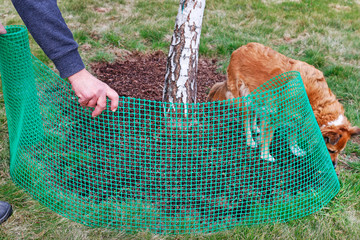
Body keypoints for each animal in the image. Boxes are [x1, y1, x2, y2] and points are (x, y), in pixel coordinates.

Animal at [208, 42, 360, 168]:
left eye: (340, 151)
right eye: (331, 150)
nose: (334, 166)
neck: (316, 101)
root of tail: (238, 50)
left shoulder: (296, 118)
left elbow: (292, 136)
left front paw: (295, 150)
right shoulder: (275, 116)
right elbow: (268, 137)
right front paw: (265, 155)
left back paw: (255, 127)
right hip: (244, 98)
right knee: (246, 121)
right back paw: (250, 140)